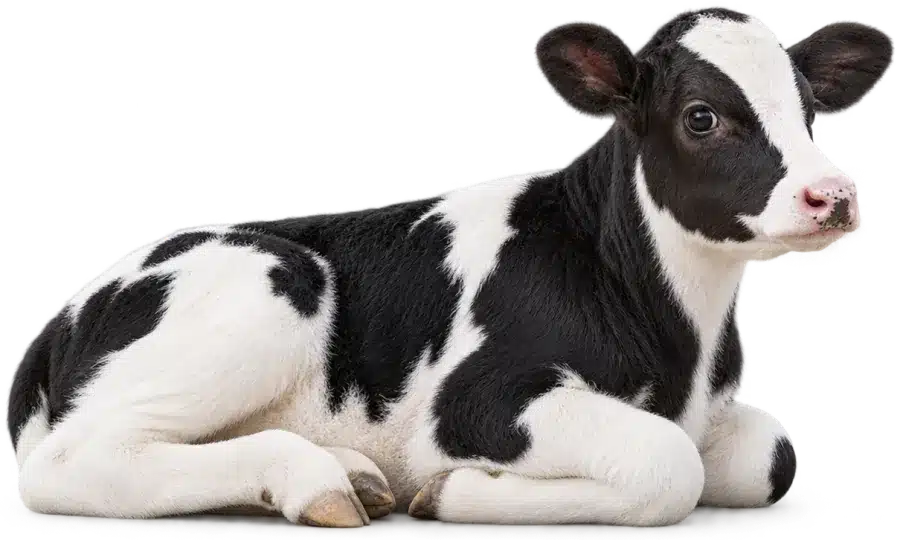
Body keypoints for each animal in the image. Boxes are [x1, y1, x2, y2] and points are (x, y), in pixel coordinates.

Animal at [4, 4, 894, 528]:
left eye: (811, 112)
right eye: (701, 117)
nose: (834, 195)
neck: (682, 345)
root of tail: (69, 307)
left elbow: (769, 453)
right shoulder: (475, 401)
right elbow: (666, 464)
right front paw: (453, 491)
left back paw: (353, 474)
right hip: (269, 287)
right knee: (68, 463)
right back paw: (317, 482)